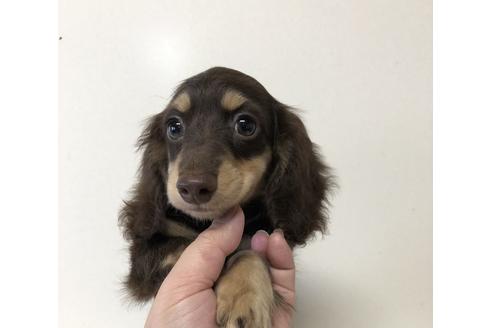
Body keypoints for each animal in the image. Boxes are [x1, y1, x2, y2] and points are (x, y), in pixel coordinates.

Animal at [119, 67, 334, 328]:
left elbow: (249, 253)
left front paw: (243, 298)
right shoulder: (144, 261)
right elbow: (186, 248)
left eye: (245, 125)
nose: (193, 188)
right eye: (174, 127)